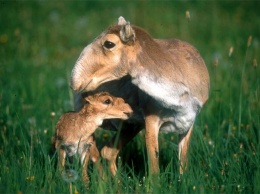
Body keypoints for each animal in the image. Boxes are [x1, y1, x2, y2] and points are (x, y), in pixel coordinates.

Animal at [70, 16, 210, 174]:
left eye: (109, 43)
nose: (75, 81)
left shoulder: (188, 123)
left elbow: (183, 164)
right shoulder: (151, 121)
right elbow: (154, 168)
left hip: (131, 126)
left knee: (108, 152)